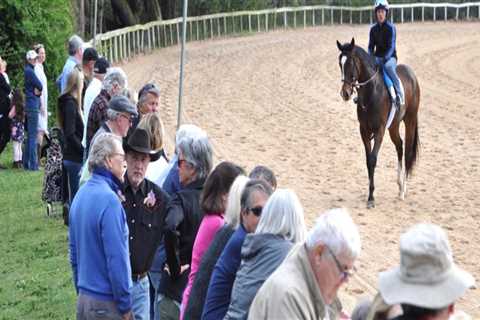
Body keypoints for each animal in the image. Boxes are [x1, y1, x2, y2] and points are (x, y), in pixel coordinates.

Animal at [334, 38, 420, 209]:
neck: (371, 92)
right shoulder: (364, 130)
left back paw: (403, 191)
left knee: (407, 150)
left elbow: (373, 159)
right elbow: (368, 160)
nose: (345, 93)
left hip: (410, 120)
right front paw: (370, 193)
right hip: (393, 126)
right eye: (340, 63)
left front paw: (371, 197)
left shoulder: (379, 130)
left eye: (350, 63)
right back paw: (399, 185)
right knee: (399, 146)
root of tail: (412, 74)